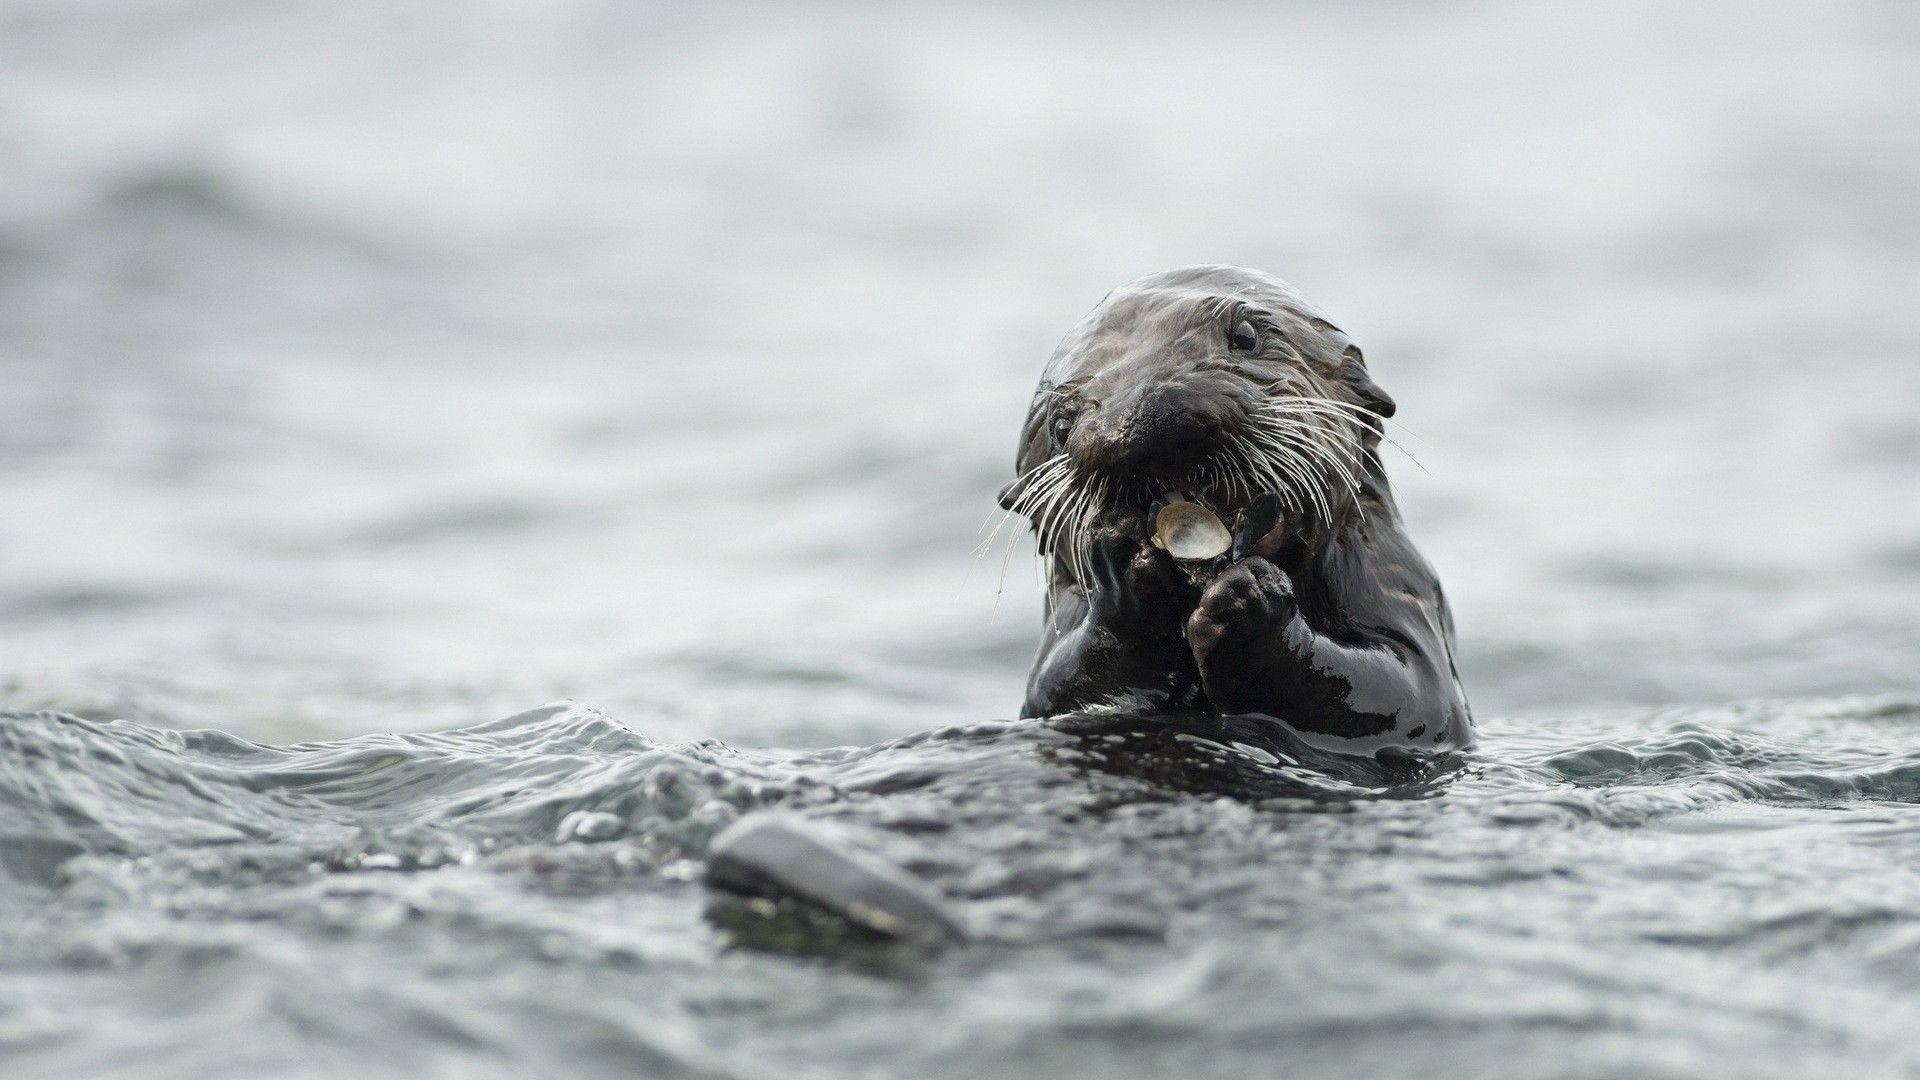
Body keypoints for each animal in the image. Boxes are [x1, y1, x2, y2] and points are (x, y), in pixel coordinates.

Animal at [1006, 265, 1466, 745]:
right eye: (1061, 424)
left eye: (1246, 336)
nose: (1143, 419)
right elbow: (1058, 685)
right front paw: (1123, 574)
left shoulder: (1395, 580)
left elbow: (1408, 690)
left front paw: (1249, 597)